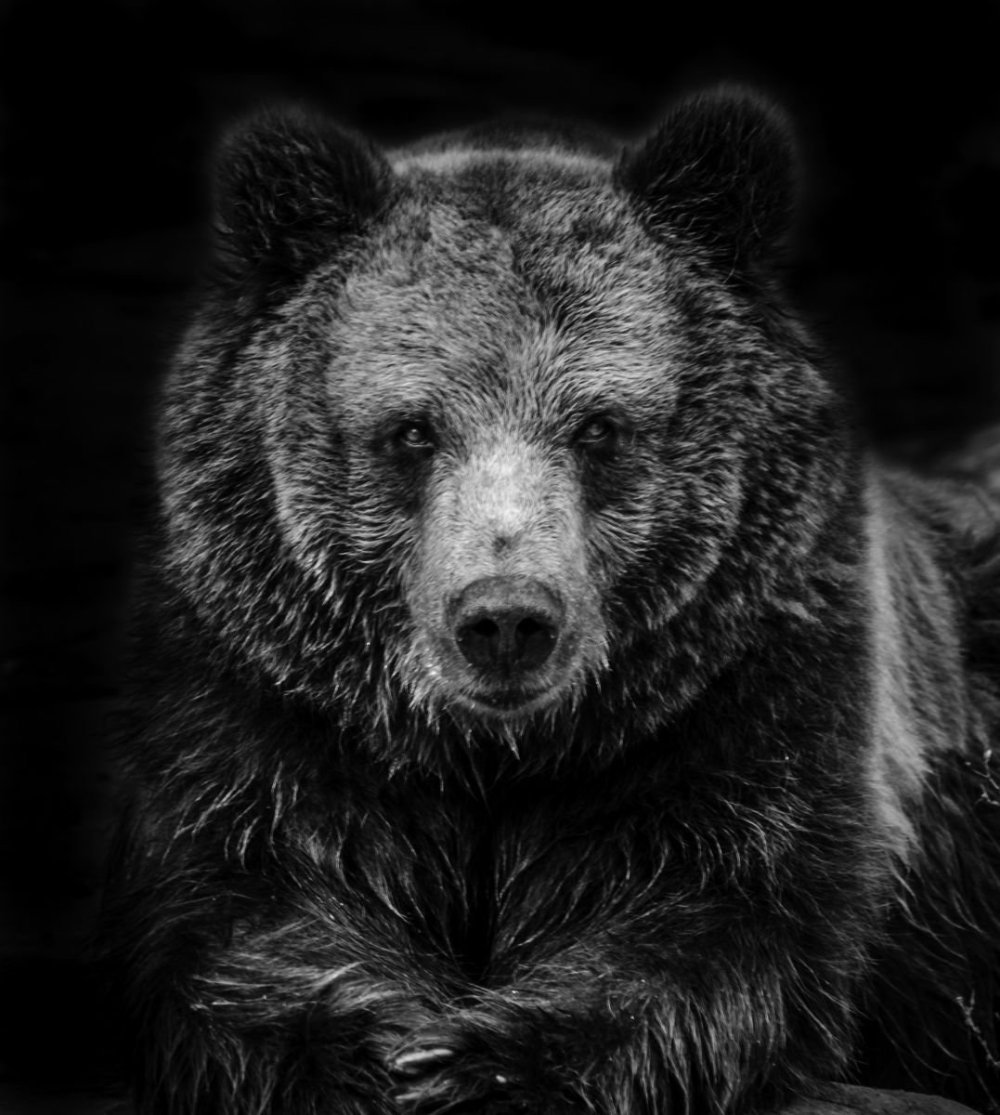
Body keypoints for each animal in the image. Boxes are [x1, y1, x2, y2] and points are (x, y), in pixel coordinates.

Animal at [100, 87, 1000, 1115]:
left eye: (599, 425)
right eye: (412, 429)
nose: (505, 619)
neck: (502, 755)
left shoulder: (744, 700)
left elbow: (717, 930)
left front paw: (471, 1060)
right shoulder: (267, 697)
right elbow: (245, 916)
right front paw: (379, 1050)